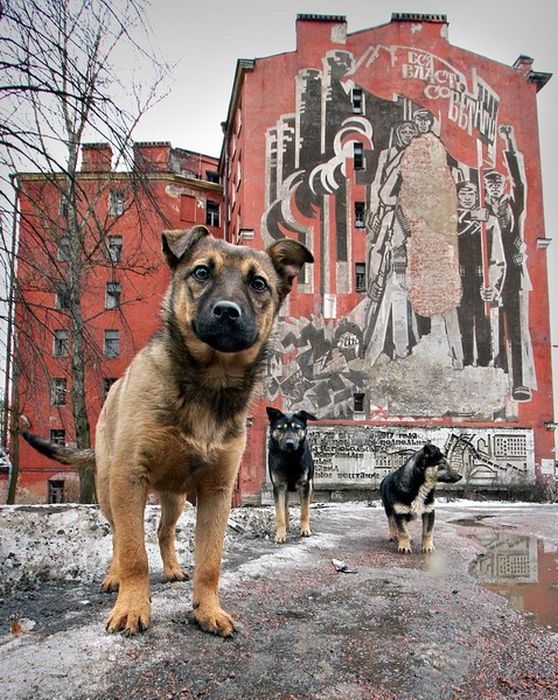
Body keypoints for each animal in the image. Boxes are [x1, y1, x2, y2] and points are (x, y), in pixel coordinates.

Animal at [268, 408, 320, 544]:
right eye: (280, 428)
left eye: (296, 428)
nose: (290, 443)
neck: (289, 457)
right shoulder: (279, 487)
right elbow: (280, 514)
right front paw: (280, 534)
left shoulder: (304, 485)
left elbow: (304, 512)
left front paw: (305, 530)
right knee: (285, 508)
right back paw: (286, 526)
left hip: (310, 486)